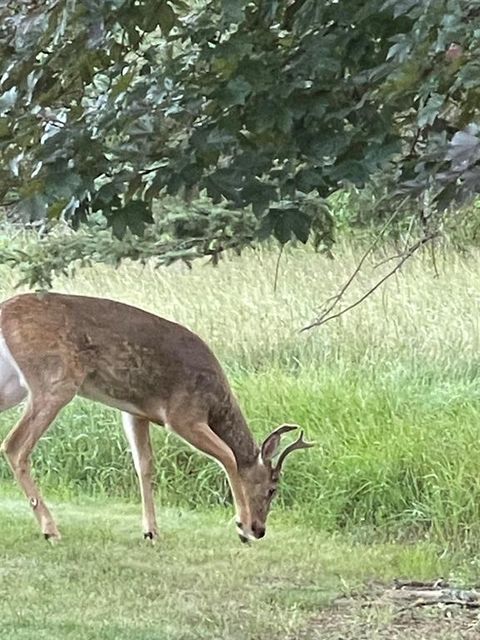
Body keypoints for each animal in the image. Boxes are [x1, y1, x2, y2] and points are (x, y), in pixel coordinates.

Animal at [0, 292, 314, 544]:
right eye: (272, 489)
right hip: (55, 381)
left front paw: (151, 531)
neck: (216, 402)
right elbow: (228, 455)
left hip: (15, 386)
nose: (260, 530)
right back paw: (50, 530)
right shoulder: (183, 414)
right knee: (14, 446)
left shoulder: (135, 411)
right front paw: (241, 526)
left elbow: (144, 465)